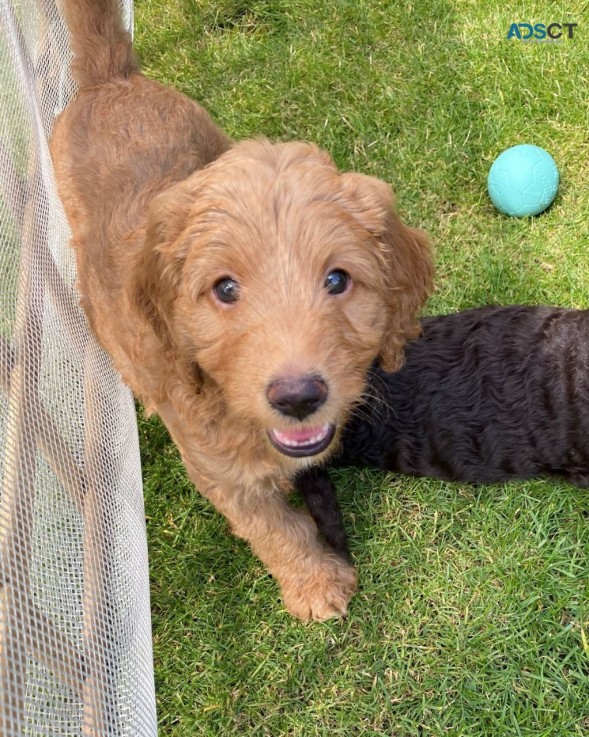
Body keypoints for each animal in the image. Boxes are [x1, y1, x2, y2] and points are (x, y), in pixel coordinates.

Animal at [49, 1, 432, 620]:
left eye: (337, 280)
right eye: (225, 289)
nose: (298, 397)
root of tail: (111, 80)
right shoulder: (219, 473)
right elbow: (274, 529)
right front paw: (314, 586)